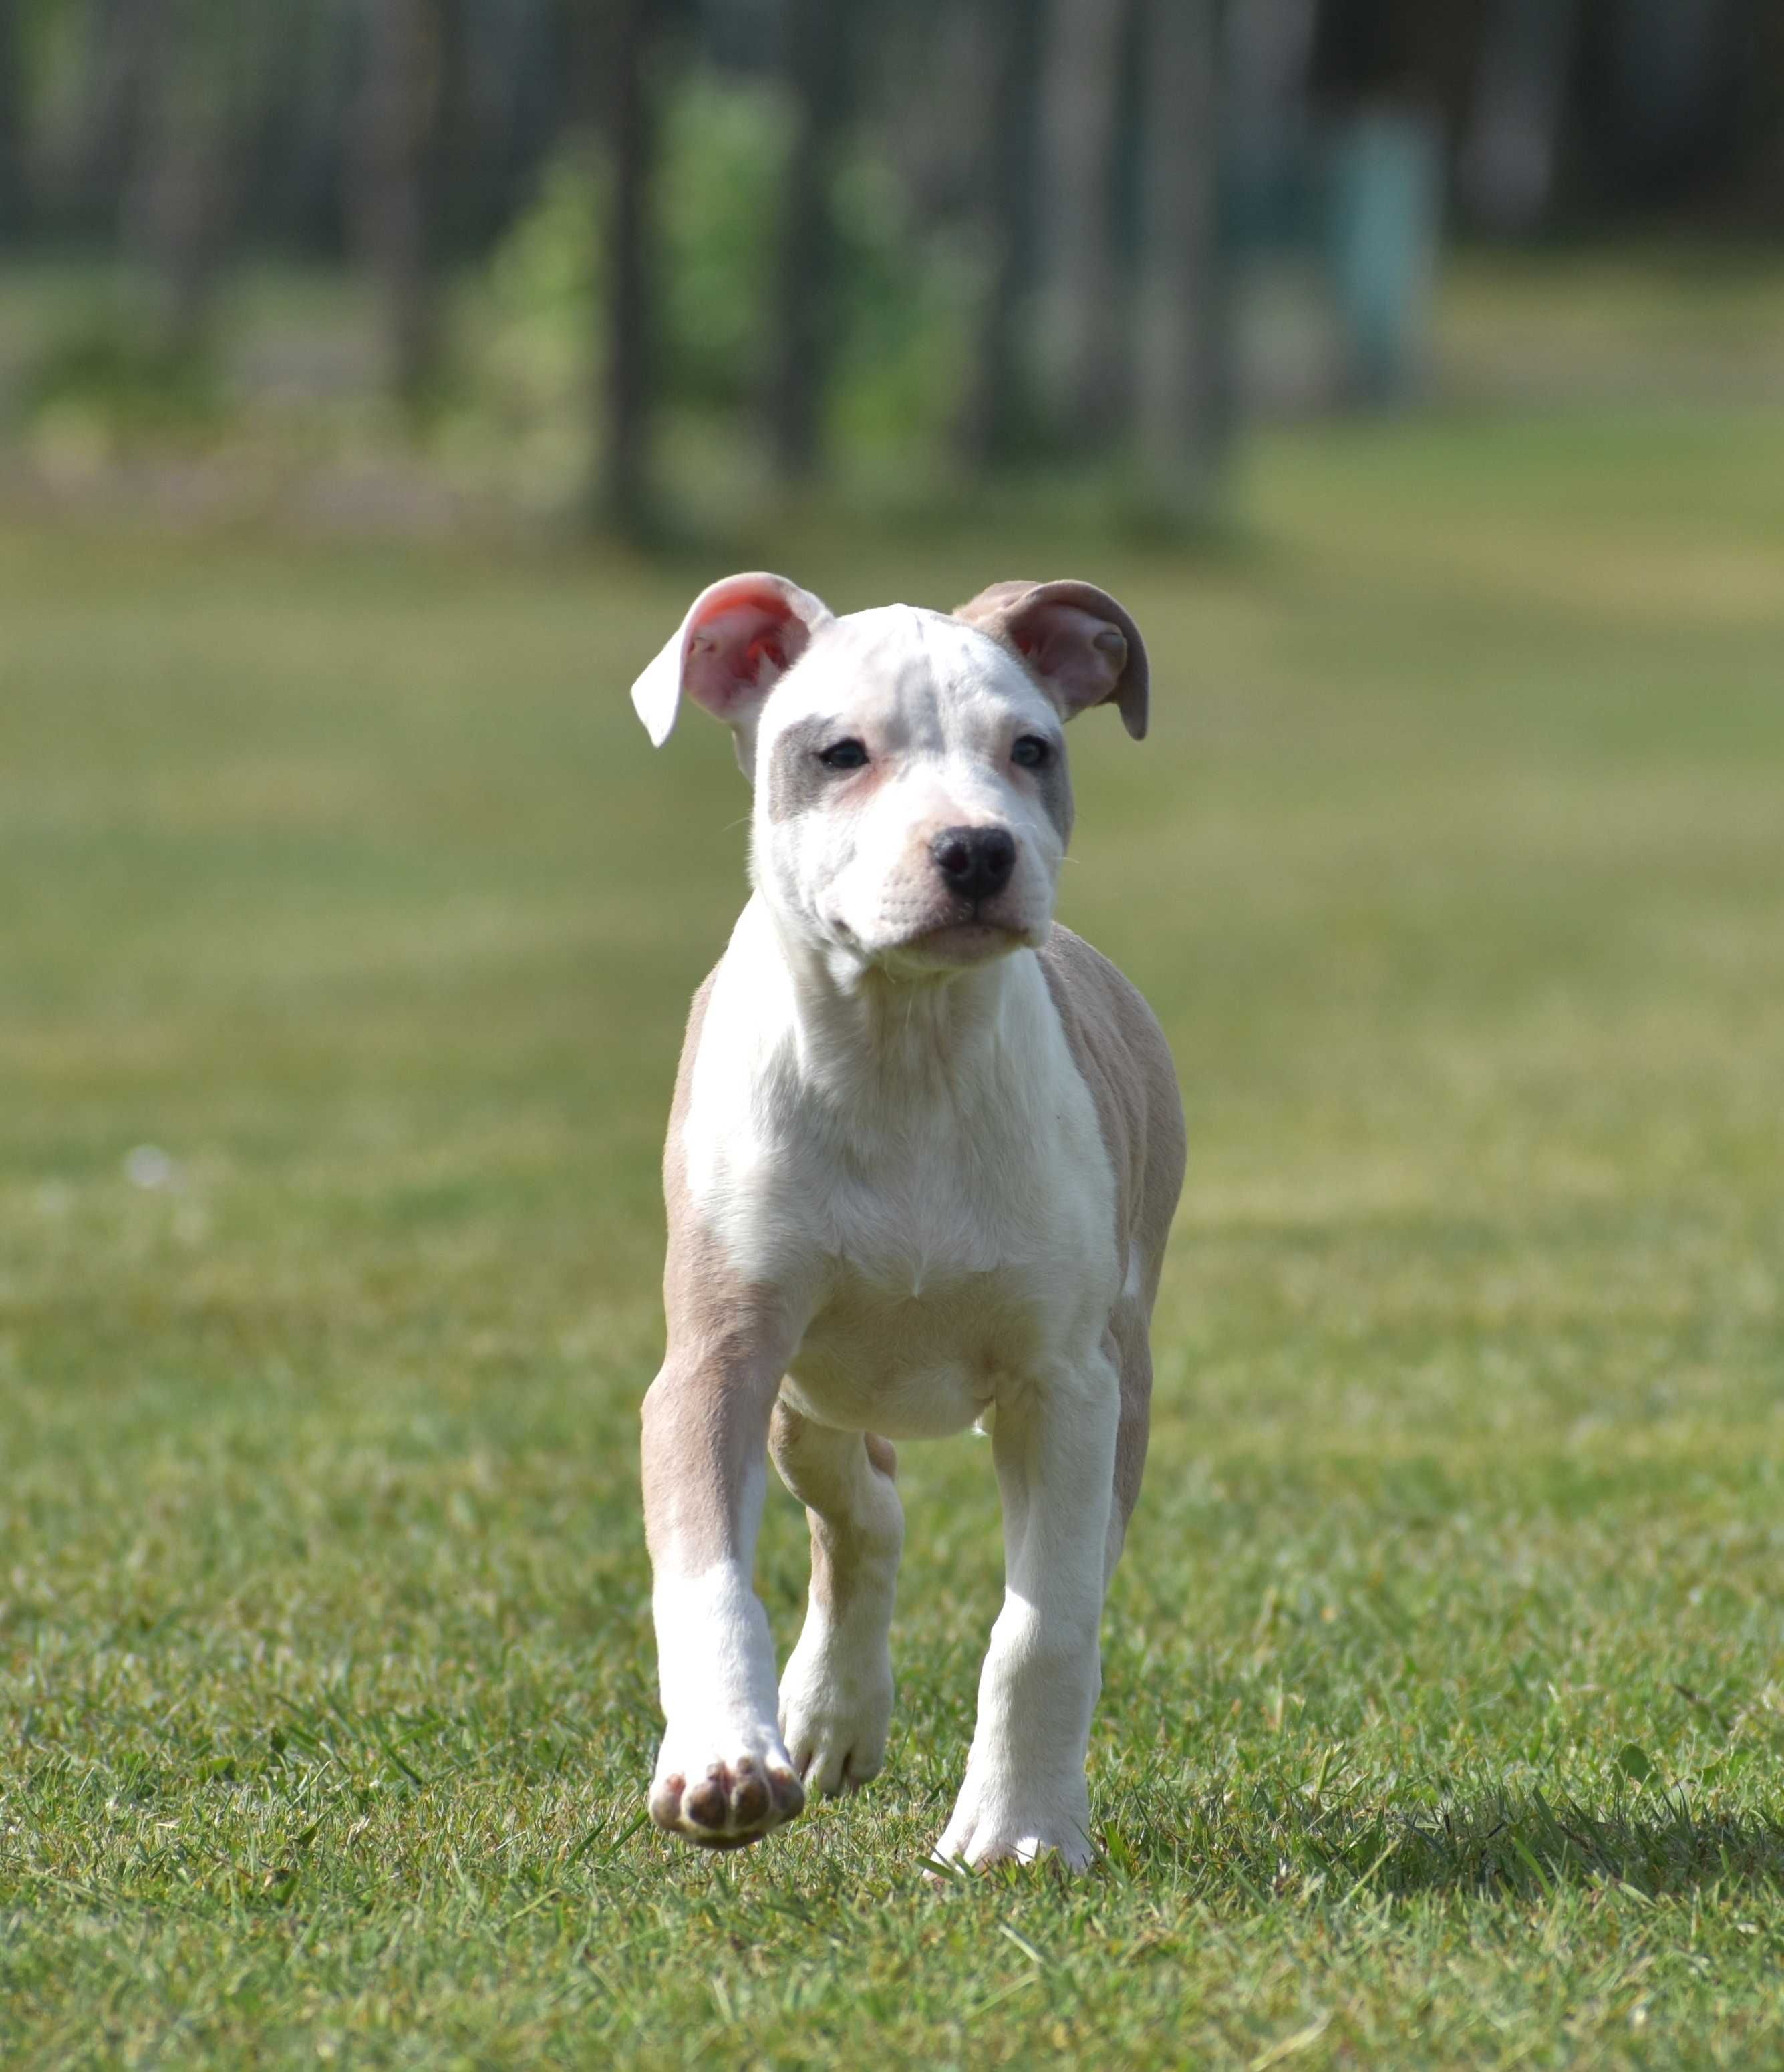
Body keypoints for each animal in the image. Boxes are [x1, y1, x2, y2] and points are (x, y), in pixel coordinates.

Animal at [625, 576, 1185, 1873]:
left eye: (1031, 749)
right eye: (840, 752)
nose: (978, 847)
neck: (904, 1050)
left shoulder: (1066, 1385)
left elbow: (1043, 1623)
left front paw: (1017, 1829)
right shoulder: (716, 1361)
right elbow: (706, 1572)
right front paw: (723, 1761)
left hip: (1121, 1377)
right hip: (806, 1391)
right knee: (859, 1511)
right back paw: (824, 1716)